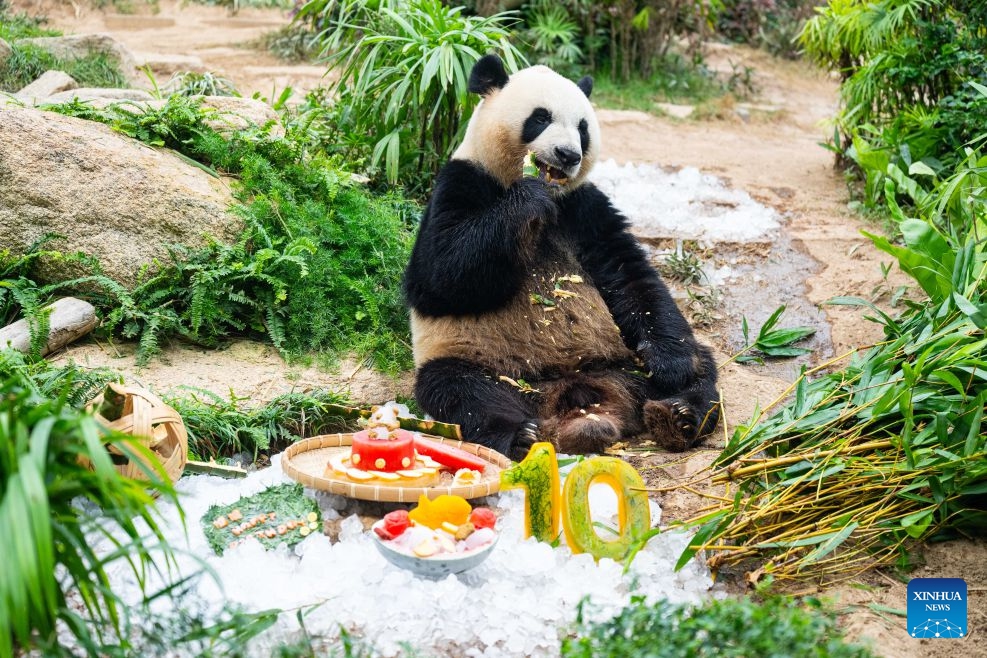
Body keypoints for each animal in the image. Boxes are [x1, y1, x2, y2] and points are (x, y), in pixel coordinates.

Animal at [403, 54, 720, 461]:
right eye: (540, 117)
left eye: (583, 128)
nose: (569, 154)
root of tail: (582, 399)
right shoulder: (461, 181)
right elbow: (438, 277)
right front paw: (528, 200)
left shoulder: (585, 209)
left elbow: (631, 277)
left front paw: (669, 364)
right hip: (491, 366)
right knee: (461, 391)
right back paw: (522, 436)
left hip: (623, 360)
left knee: (701, 367)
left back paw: (678, 414)